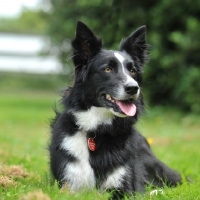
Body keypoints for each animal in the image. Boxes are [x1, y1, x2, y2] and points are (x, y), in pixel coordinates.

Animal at [49, 21, 181, 197]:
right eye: (107, 69)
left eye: (132, 71)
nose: (133, 88)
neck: (97, 131)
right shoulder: (68, 185)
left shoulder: (124, 188)